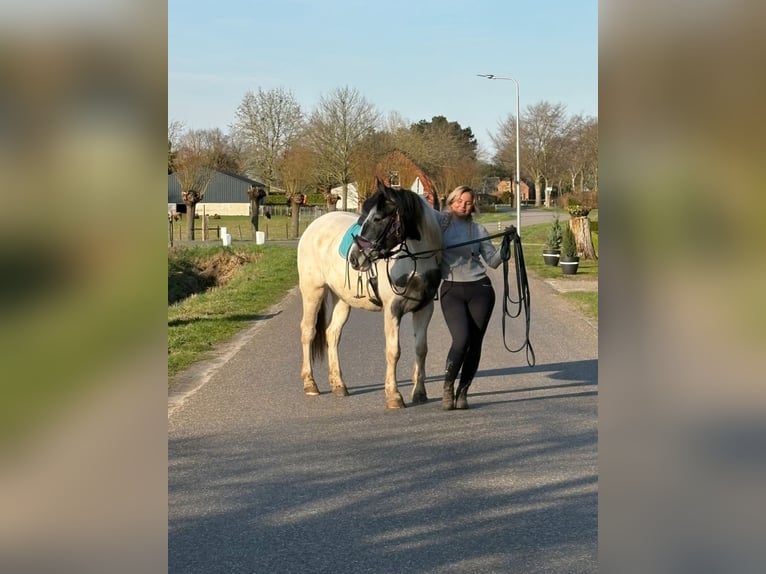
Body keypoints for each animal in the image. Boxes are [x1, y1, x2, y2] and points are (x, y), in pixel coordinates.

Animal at [297, 181, 443, 409]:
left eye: (378, 218)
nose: (355, 258)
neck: (414, 260)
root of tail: (314, 225)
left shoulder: (424, 308)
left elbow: (421, 349)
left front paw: (419, 392)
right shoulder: (392, 310)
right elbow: (393, 351)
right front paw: (393, 396)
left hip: (342, 299)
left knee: (332, 334)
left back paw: (339, 385)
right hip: (313, 291)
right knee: (308, 332)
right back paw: (310, 384)